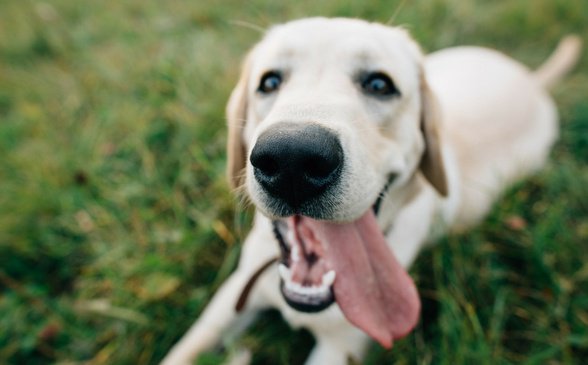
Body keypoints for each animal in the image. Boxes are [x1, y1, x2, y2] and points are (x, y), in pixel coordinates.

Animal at [163, 18, 580, 364]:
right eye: (269, 82)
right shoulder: (233, 294)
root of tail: (532, 79)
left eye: (380, 84)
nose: (292, 159)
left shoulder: (341, 348)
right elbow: (184, 349)